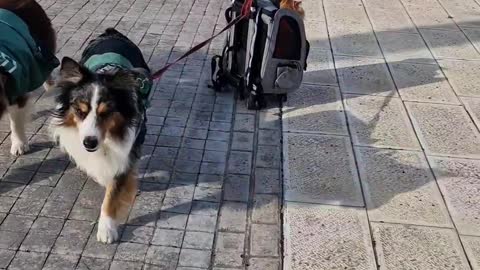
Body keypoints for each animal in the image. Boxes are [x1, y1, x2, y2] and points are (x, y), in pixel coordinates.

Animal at [51, 28, 152, 244]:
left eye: (106, 113)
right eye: (79, 111)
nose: (89, 143)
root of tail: (112, 32)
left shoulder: (126, 153)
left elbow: (112, 194)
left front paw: (106, 229)